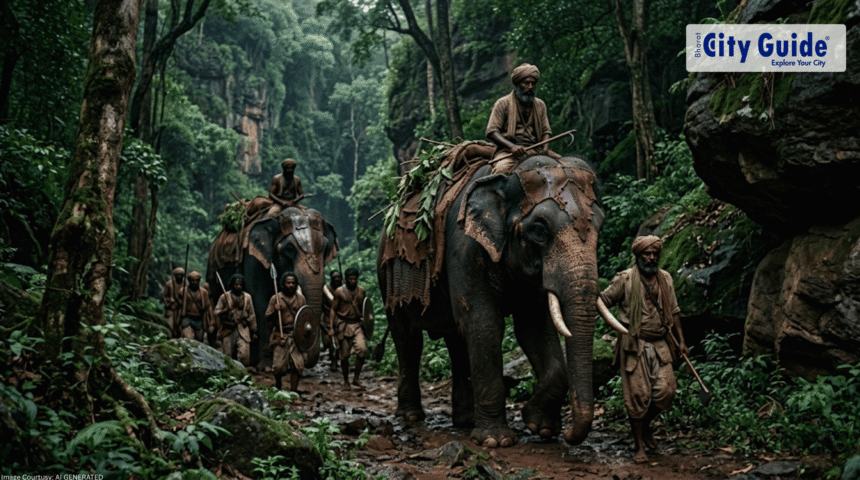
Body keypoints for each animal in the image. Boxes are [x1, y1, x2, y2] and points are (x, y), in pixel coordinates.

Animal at [377, 155, 616, 448]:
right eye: (539, 230)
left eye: (600, 226)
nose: (570, 436)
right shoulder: (465, 246)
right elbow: (485, 323)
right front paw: (496, 440)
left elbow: (533, 328)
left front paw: (540, 426)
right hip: (387, 280)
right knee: (408, 339)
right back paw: (411, 417)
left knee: (456, 339)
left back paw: (466, 421)